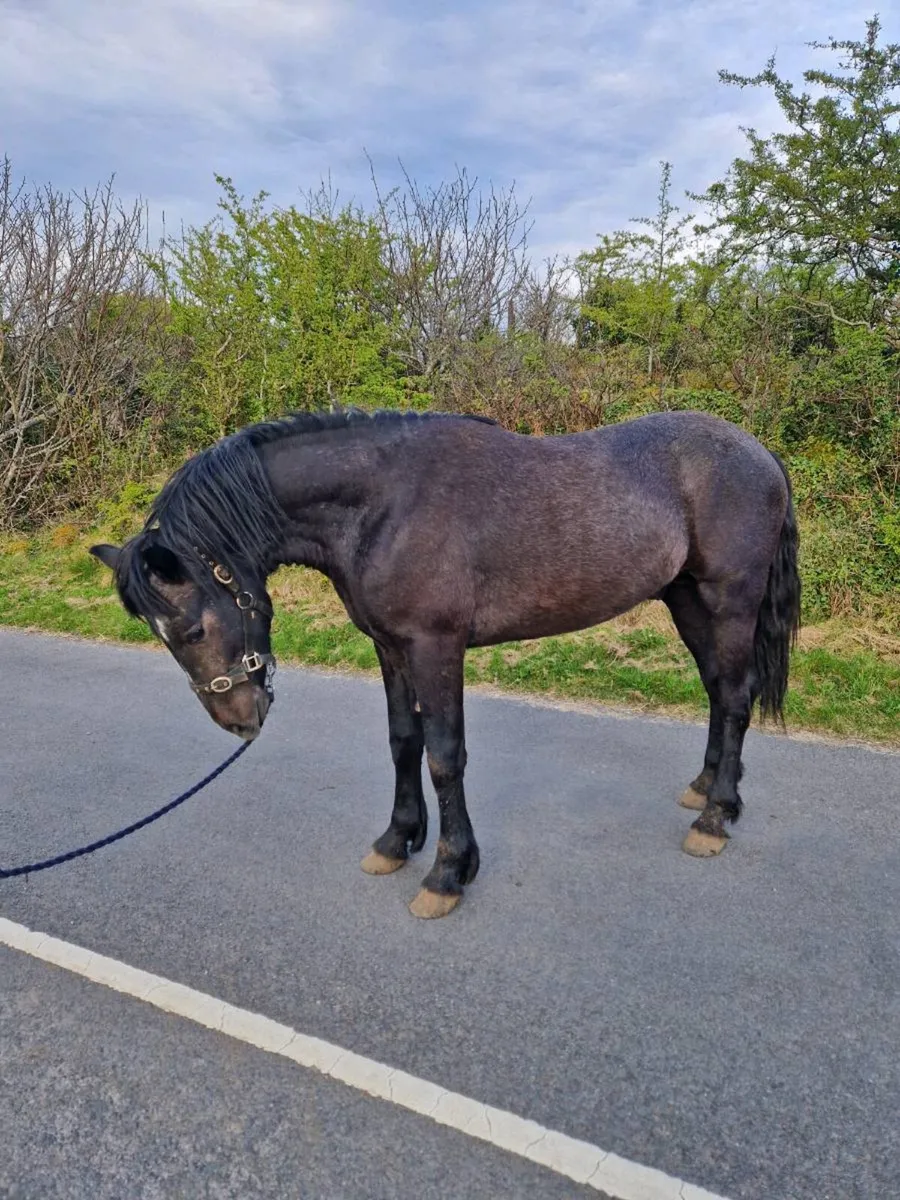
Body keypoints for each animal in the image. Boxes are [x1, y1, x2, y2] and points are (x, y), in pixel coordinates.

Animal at [91, 407, 800, 919]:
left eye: (192, 627)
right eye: (161, 635)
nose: (240, 719)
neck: (383, 504)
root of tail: (761, 454)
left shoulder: (436, 646)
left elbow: (443, 755)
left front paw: (449, 872)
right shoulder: (390, 646)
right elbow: (403, 741)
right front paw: (397, 840)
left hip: (728, 601)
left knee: (736, 698)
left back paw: (715, 818)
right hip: (686, 600)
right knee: (717, 691)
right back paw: (706, 788)